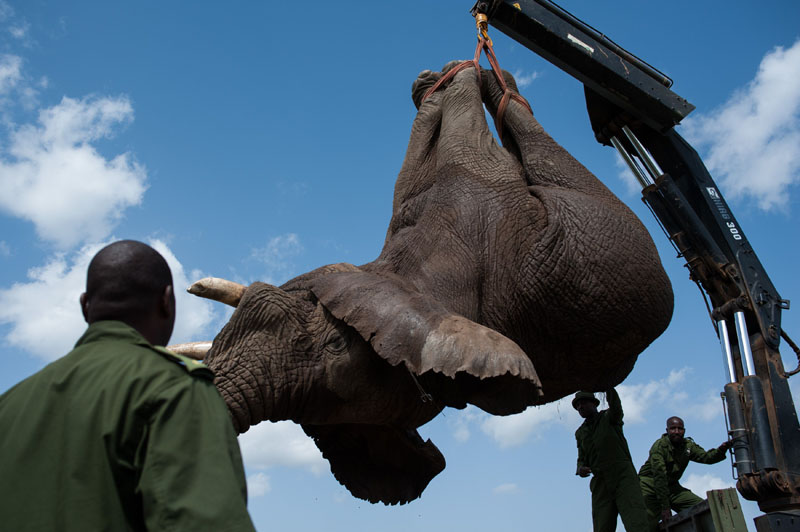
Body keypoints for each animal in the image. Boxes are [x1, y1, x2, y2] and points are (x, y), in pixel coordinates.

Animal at [178, 60, 672, 504]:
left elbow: (459, 147)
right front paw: (436, 84)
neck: (403, 276)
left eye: (335, 349)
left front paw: (450, 79)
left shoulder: (479, 202)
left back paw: (484, 78)